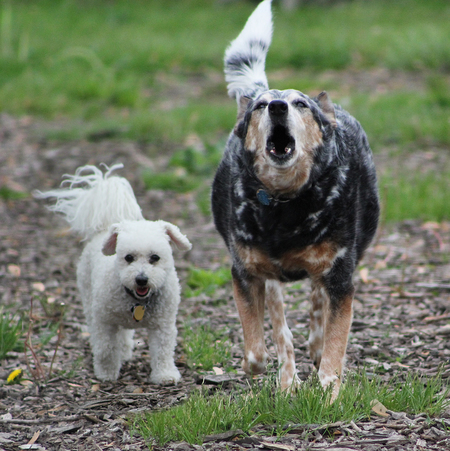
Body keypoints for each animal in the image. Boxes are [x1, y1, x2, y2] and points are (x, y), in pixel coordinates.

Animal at [37, 166, 192, 384]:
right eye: (128, 257)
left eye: (155, 257)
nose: (141, 279)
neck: (138, 301)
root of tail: (105, 228)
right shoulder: (105, 322)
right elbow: (106, 349)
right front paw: (107, 373)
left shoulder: (163, 326)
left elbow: (163, 351)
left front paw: (165, 375)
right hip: (89, 298)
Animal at [213, 0, 378, 402]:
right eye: (259, 108)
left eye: (301, 104)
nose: (276, 106)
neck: (285, 202)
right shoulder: (246, 273)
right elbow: (259, 348)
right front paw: (273, 374)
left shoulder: (340, 276)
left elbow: (334, 340)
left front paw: (329, 386)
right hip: (271, 282)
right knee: (282, 330)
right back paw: (288, 381)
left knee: (318, 306)